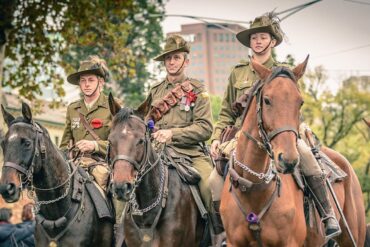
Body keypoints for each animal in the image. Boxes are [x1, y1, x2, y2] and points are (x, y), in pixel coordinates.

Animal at [221, 57, 366, 246]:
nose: (288, 160)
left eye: (300, 102)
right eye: (267, 100)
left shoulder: (289, 242)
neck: (253, 187)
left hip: (353, 237)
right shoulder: (234, 242)